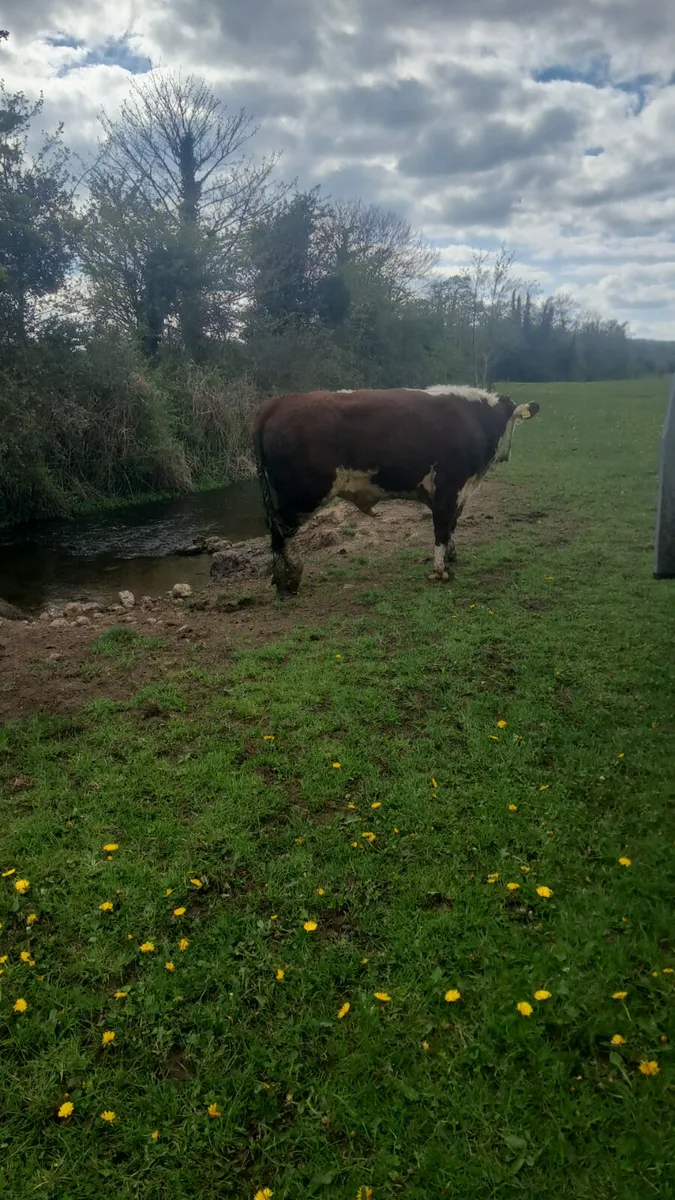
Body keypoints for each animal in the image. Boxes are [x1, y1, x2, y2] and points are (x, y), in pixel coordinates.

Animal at [252, 386, 540, 594]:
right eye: (515, 422)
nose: (508, 455)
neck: (474, 420)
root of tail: (276, 403)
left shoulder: (457, 491)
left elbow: (452, 526)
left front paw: (451, 557)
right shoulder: (449, 486)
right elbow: (442, 526)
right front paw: (440, 570)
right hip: (301, 494)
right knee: (281, 532)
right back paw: (290, 579)